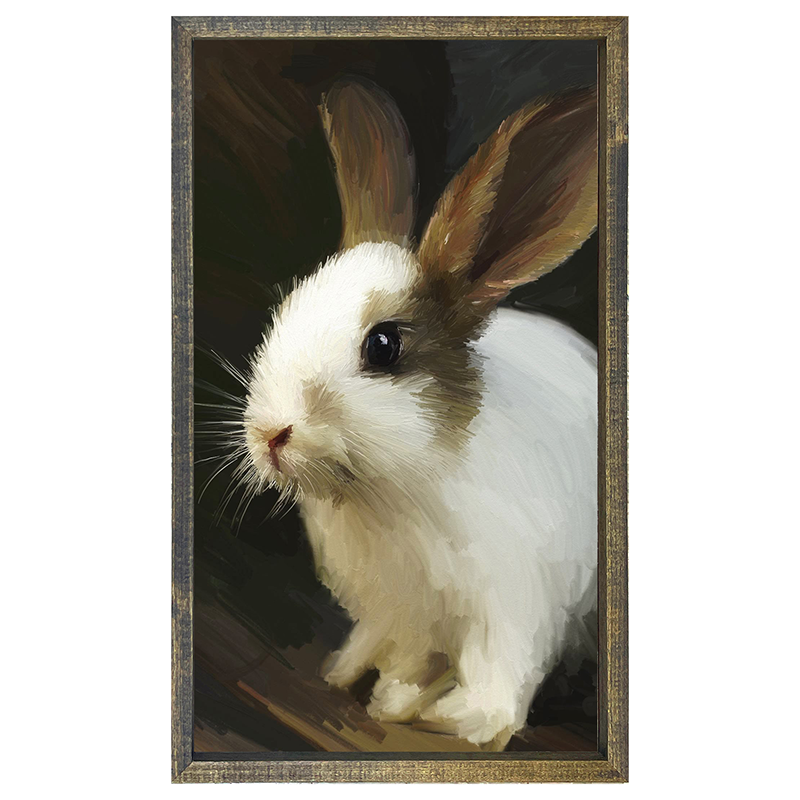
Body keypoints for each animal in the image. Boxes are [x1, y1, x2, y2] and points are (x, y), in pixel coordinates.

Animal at [241, 78, 598, 747]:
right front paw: (388, 696)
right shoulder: (400, 612)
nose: (270, 434)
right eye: (288, 306)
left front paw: (462, 720)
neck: (392, 490)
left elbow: (498, 672)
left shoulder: (511, 605)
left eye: (383, 346)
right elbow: (407, 657)